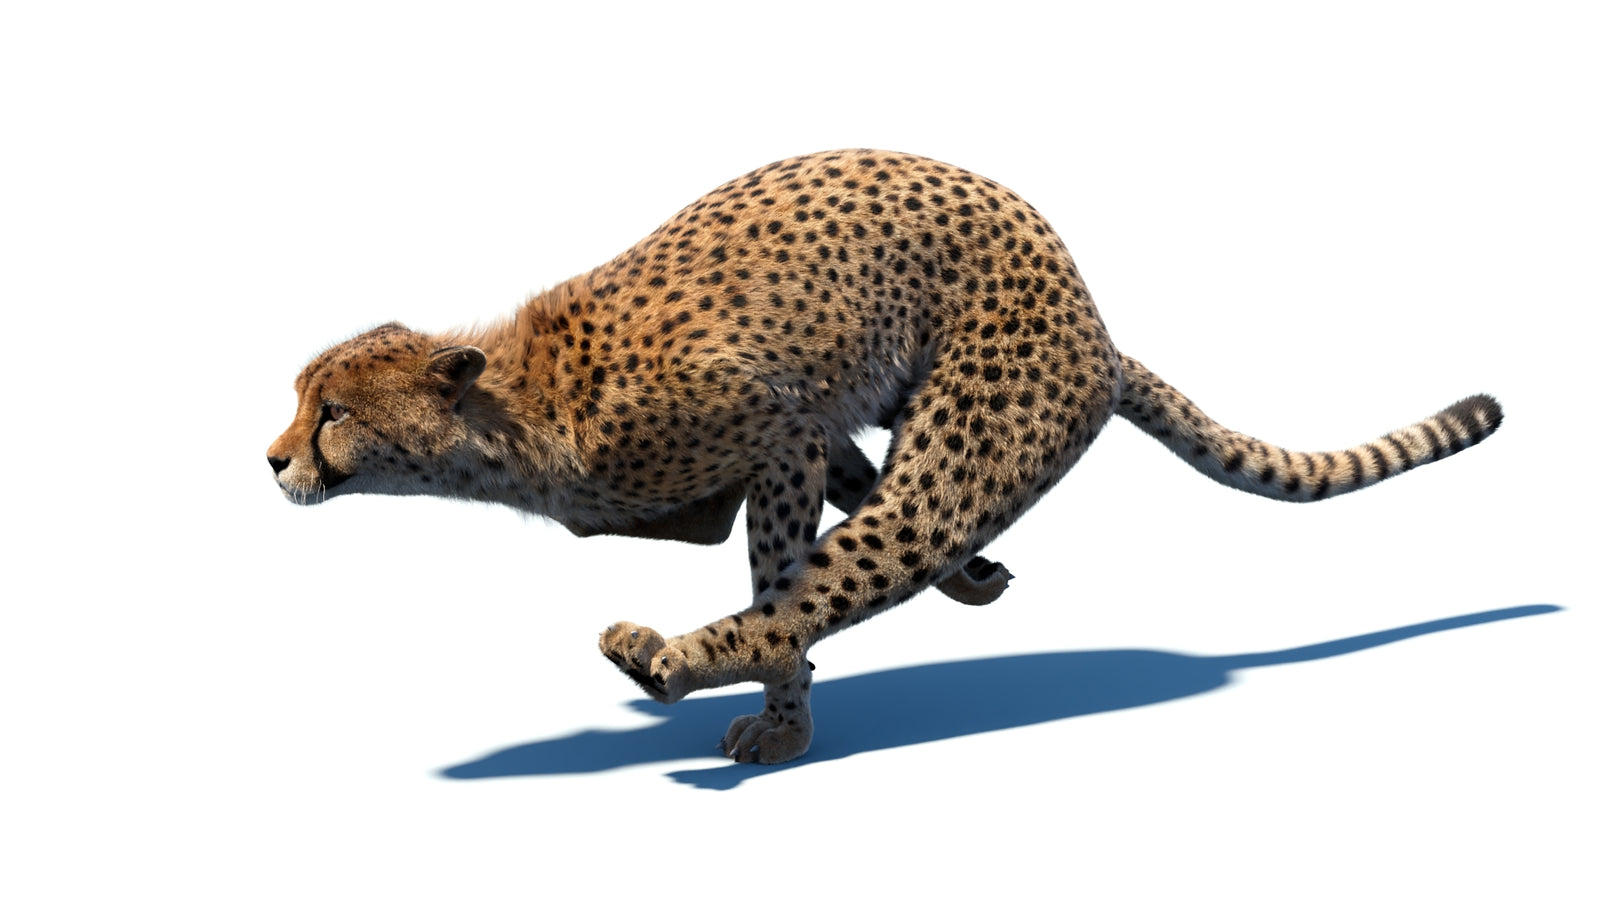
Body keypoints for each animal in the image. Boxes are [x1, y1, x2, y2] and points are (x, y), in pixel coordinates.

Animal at [268, 149, 1503, 765]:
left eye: (331, 412)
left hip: (971, 442)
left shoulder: (771, 430)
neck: (512, 414)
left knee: (864, 553)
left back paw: (665, 658)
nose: (273, 461)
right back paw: (968, 577)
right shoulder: (811, 422)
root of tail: (1095, 323)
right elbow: (816, 493)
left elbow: (781, 573)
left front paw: (784, 720)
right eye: (302, 401)